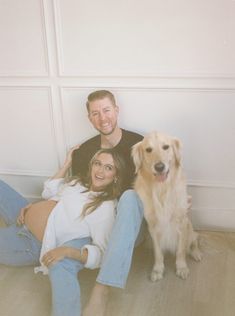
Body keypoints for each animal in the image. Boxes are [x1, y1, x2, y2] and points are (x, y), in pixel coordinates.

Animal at [132, 131, 202, 282]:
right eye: (148, 149)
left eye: (166, 147)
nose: (159, 167)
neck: (162, 189)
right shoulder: (152, 227)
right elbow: (158, 252)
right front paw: (158, 270)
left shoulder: (181, 222)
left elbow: (181, 250)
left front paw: (181, 267)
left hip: (190, 228)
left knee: (193, 241)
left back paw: (196, 253)